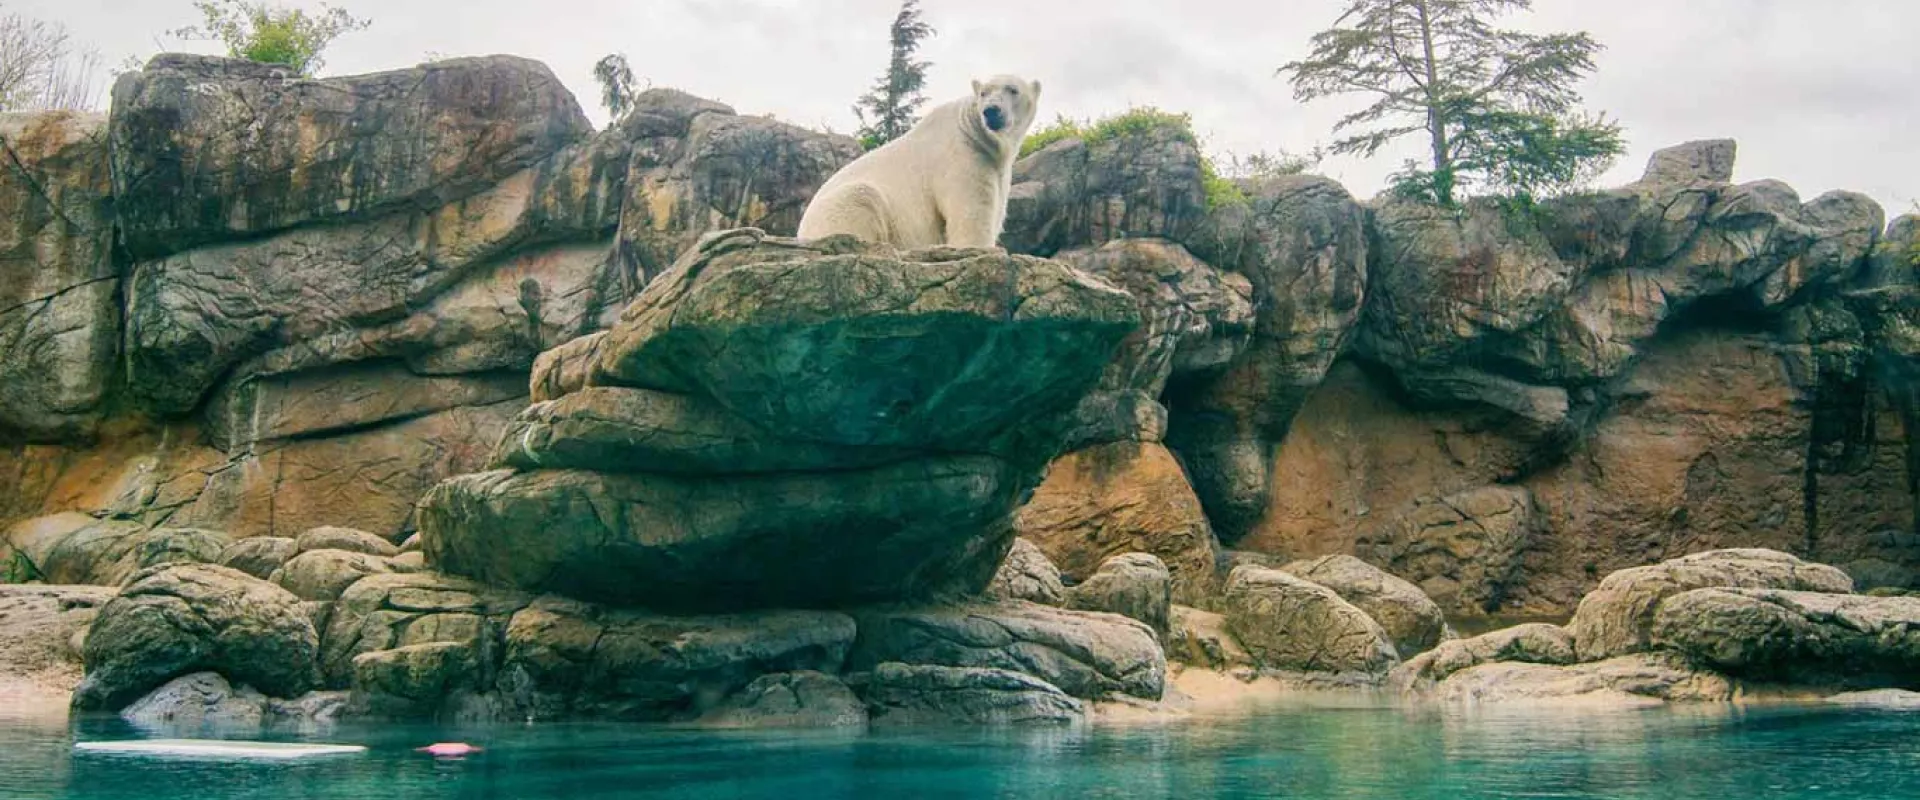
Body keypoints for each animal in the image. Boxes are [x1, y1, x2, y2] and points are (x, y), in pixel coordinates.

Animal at [797, 75, 1042, 250]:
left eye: (1013, 90)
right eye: (984, 93)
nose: (991, 111)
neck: (974, 130)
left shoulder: (994, 164)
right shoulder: (961, 155)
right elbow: (971, 212)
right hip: (838, 209)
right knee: (861, 197)